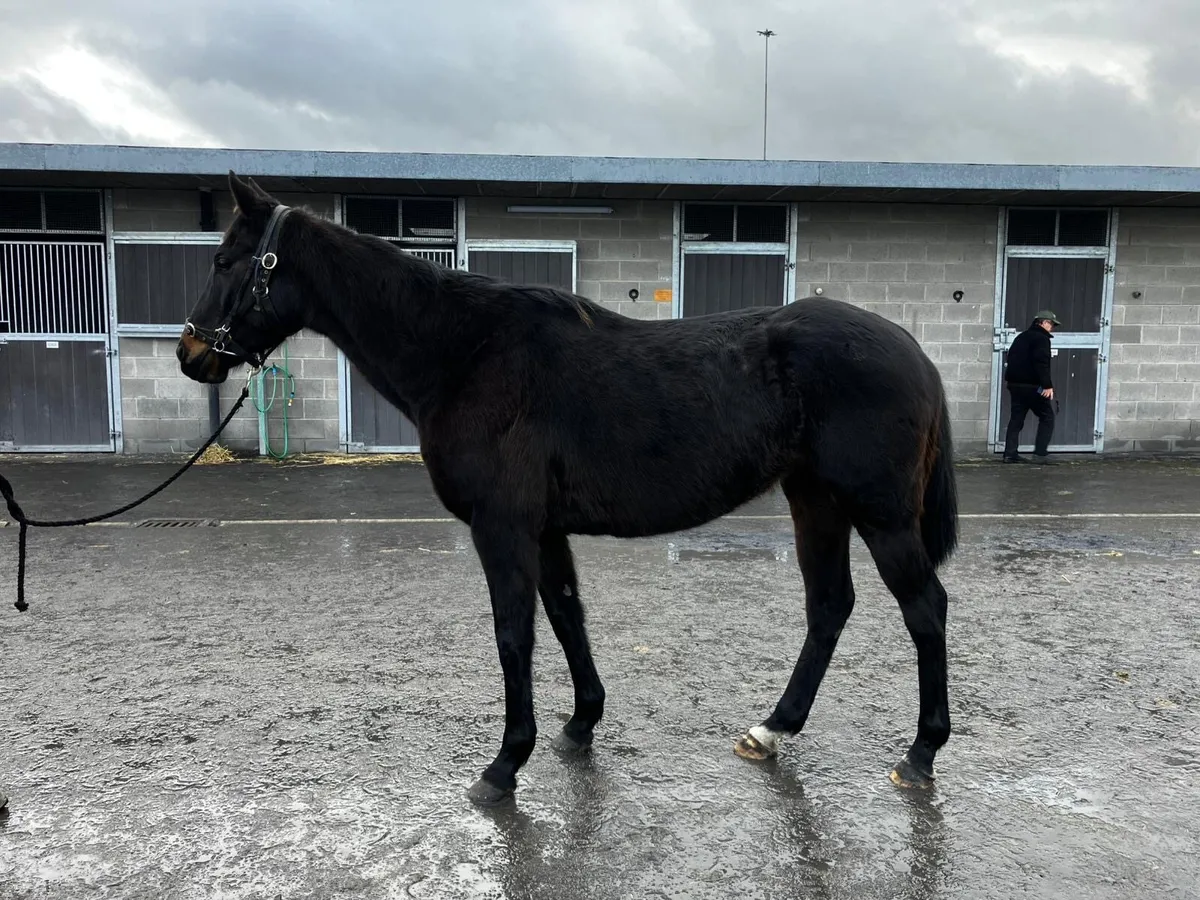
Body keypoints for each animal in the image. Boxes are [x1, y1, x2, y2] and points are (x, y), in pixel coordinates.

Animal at [177, 172, 959, 806]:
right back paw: (772, 729)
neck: (467, 354)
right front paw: (581, 723)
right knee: (829, 605)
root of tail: (914, 351)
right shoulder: (545, 529)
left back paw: (920, 754)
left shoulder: (502, 526)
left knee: (924, 607)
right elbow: (565, 615)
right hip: (815, 501)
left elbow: (514, 635)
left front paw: (503, 766)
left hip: (880, 514)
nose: (190, 354)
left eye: (223, 261)